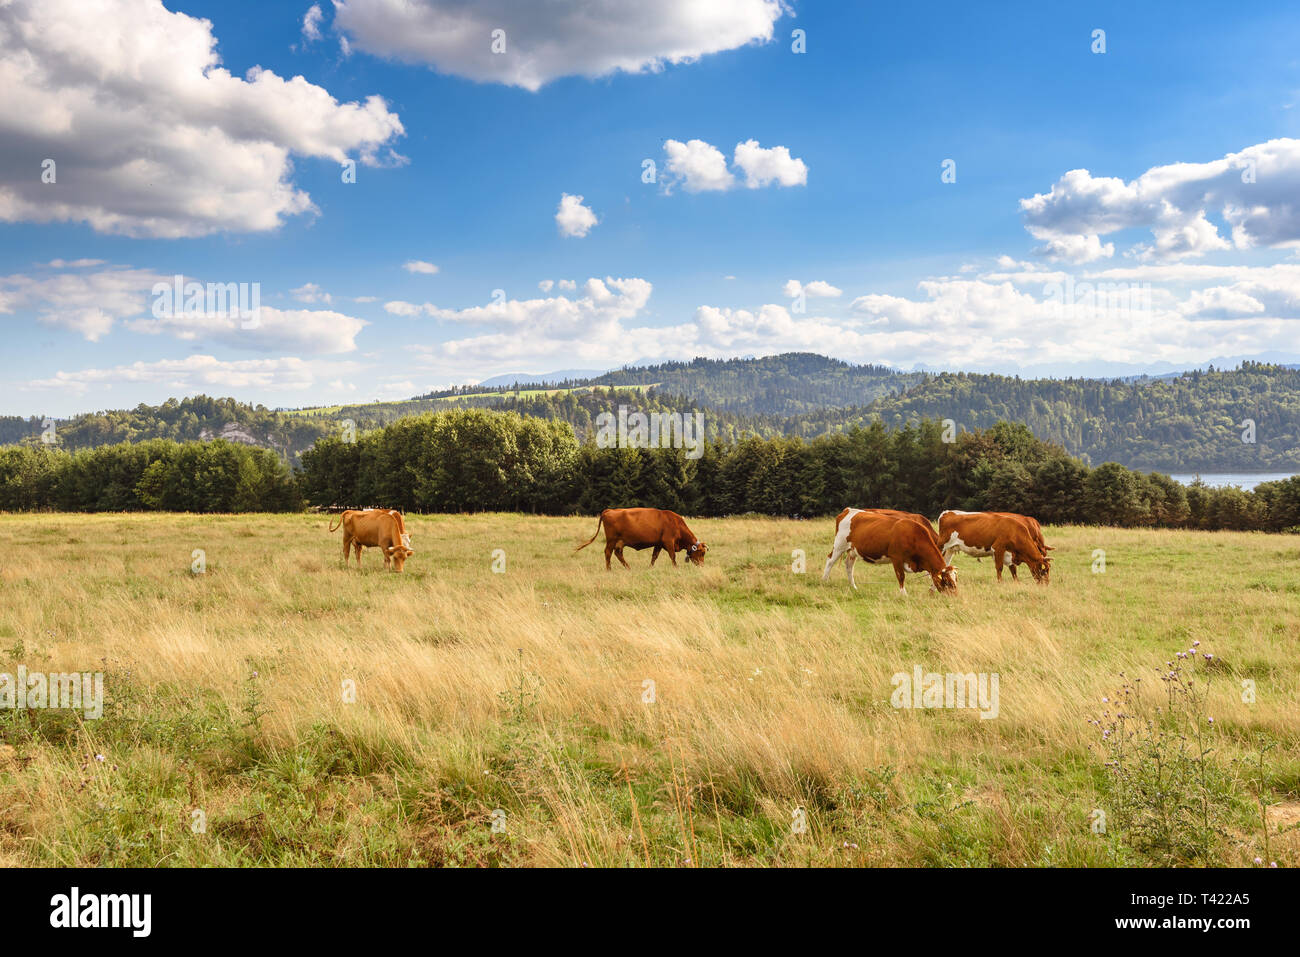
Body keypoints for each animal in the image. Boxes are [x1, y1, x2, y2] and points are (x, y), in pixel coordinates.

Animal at [574, 509, 707, 566]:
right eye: (702, 553)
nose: (702, 565)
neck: (676, 523)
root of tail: (610, 510)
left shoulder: (658, 544)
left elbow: (654, 557)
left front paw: (650, 567)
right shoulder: (669, 542)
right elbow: (672, 556)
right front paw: (676, 567)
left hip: (620, 542)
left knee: (618, 554)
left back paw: (628, 568)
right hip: (611, 540)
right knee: (608, 553)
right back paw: (609, 569)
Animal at [821, 512, 956, 595]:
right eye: (947, 581)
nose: (954, 596)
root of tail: (848, 510)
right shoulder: (896, 558)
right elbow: (901, 577)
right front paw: (904, 594)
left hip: (853, 551)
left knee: (849, 566)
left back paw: (853, 587)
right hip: (839, 545)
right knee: (830, 561)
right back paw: (824, 581)